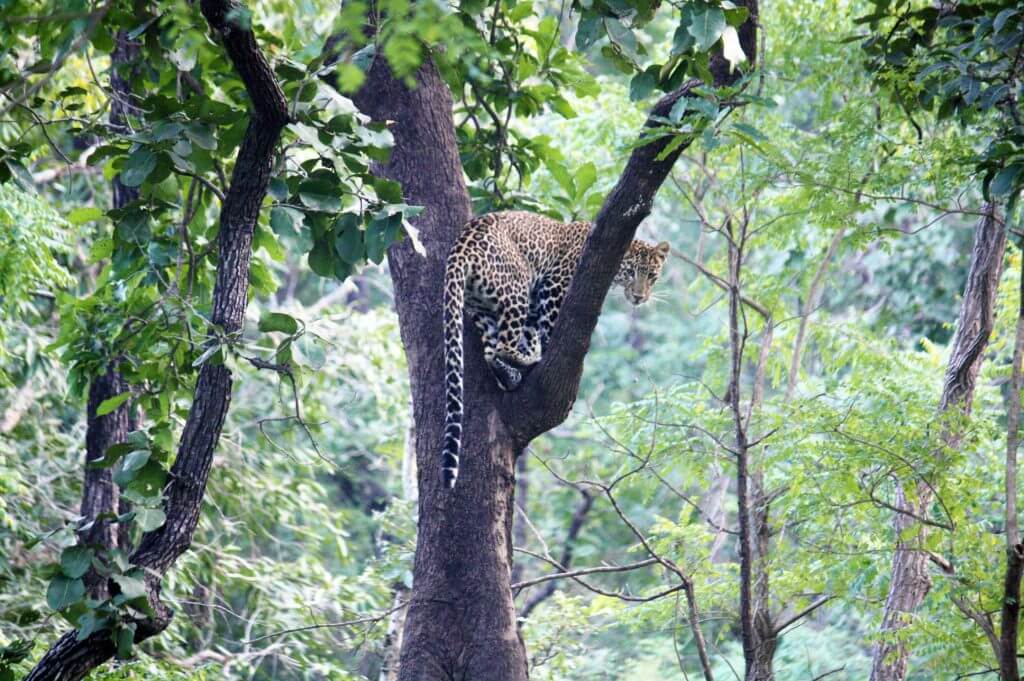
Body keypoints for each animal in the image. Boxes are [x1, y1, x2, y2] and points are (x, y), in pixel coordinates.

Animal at [442, 209, 671, 485]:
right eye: (631, 273)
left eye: (651, 276)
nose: (639, 297)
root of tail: (463, 242)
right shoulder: (554, 284)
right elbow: (548, 324)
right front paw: (547, 347)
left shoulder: (535, 301)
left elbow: (531, 331)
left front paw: (532, 349)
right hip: (517, 285)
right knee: (503, 346)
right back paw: (529, 362)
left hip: (481, 306)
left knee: (491, 351)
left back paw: (512, 376)